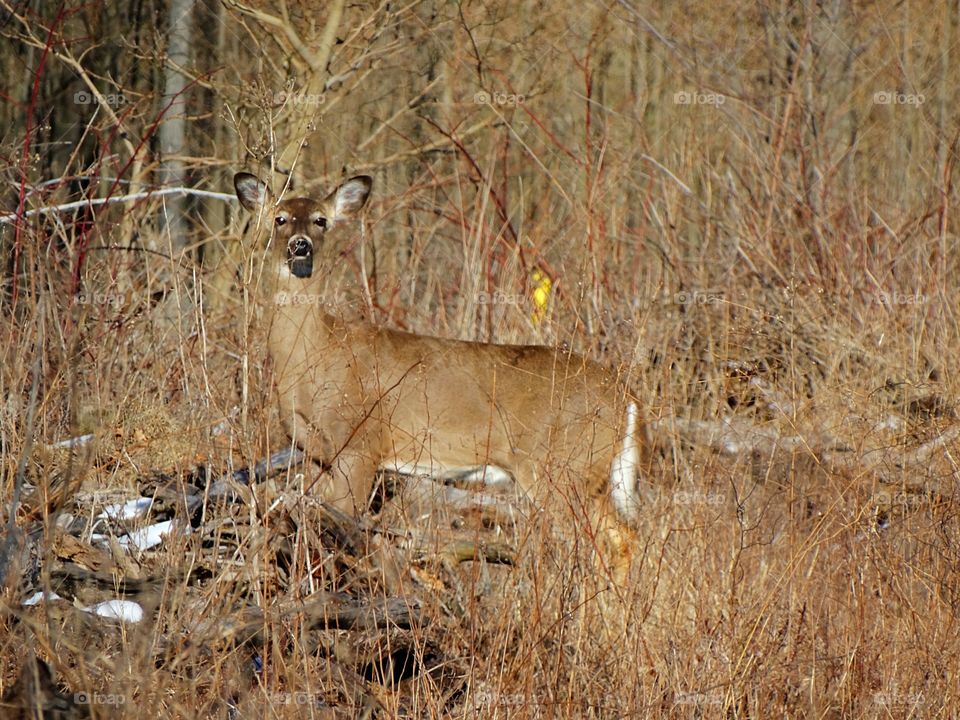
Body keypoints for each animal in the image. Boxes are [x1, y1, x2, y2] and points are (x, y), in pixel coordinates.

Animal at [233, 171, 647, 582]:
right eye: (280, 218)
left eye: (321, 220)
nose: (300, 246)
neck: (316, 356)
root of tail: (626, 397)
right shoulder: (321, 456)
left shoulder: (359, 445)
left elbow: (339, 528)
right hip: (589, 475)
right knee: (625, 536)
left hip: (559, 467)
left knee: (602, 541)